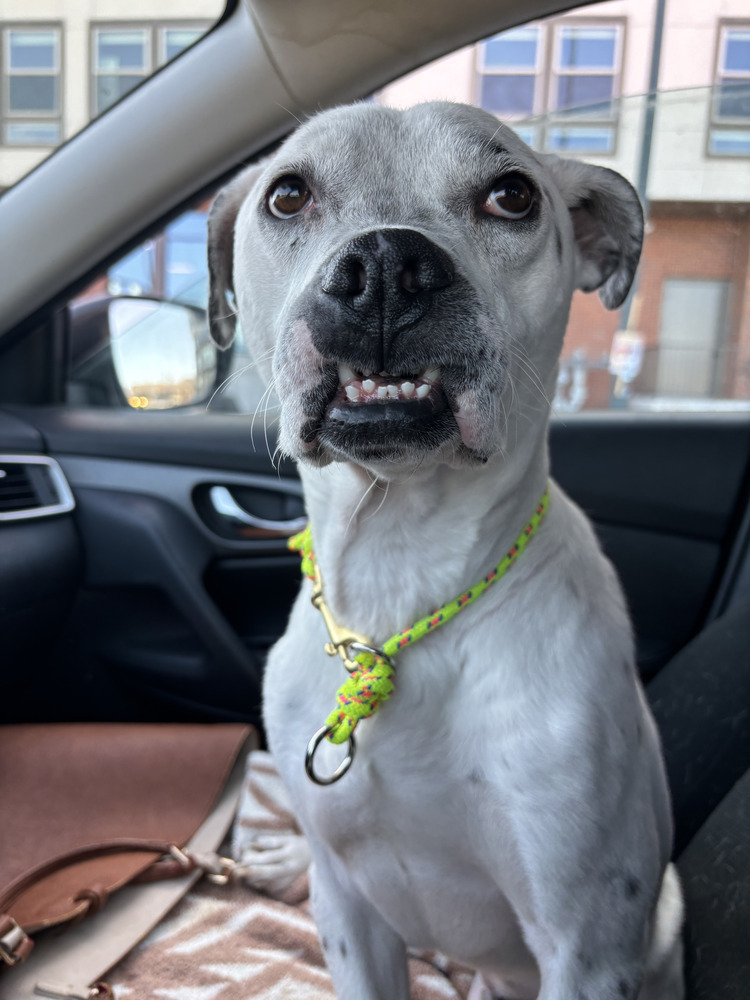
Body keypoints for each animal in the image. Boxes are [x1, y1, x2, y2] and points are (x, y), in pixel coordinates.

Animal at [209, 101, 684, 1000]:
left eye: (512, 195)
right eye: (287, 194)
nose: (387, 265)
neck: (403, 578)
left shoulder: (588, 945)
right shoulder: (349, 908)